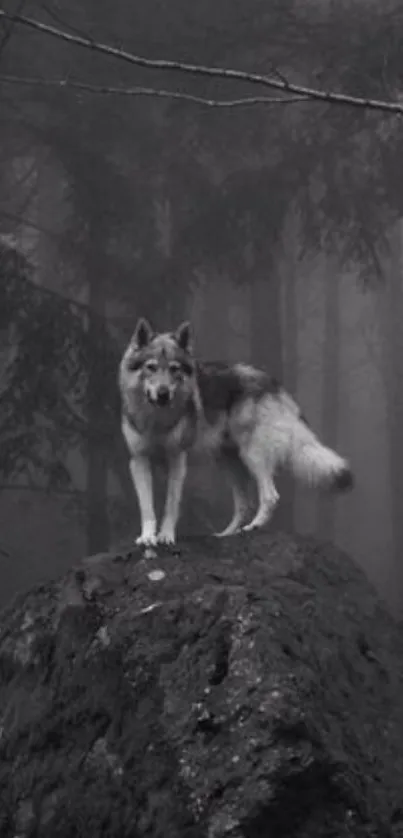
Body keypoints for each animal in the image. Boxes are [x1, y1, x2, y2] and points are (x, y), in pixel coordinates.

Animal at [119, 318, 354, 548]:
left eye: (174, 369)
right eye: (151, 367)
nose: (163, 393)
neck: (156, 419)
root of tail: (273, 383)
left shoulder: (177, 459)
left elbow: (171, 504)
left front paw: (166, 536)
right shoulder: (138, 460)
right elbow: (146, 506)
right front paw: (147, 537)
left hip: (252, 456)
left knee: (270, 496)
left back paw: (253, 527)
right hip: (228, 463)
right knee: (244, 504)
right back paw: (227, 535)